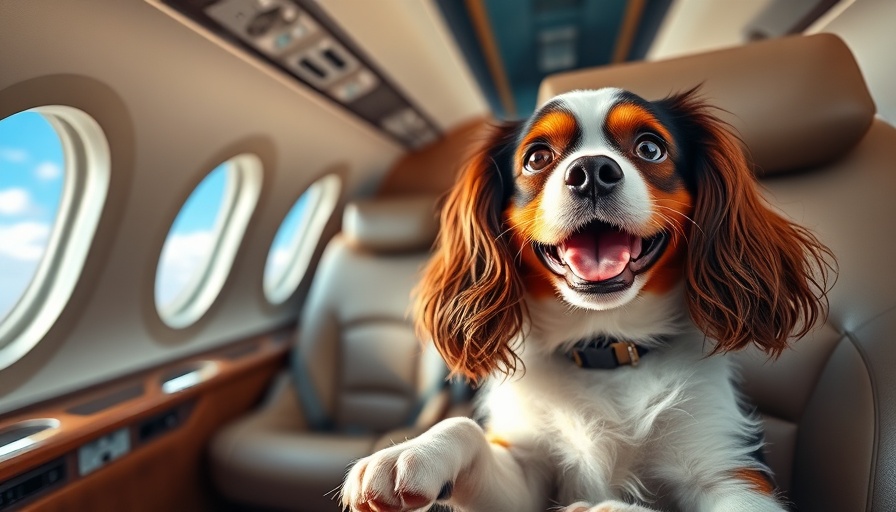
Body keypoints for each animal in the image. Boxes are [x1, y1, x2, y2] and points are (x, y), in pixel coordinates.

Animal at [338, 88, 832, 512]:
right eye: (537, 157)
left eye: (650, 148)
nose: (592, 170)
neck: (605, 351)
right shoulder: (527, 475)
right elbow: (465, 428)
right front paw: (410, 452)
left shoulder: (730, 473)